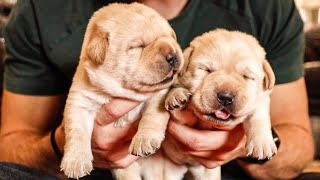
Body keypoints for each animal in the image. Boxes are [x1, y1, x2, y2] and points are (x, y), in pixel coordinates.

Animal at [60, 2, 184, 179]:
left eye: (171, 37)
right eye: (138, 46)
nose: (173, 56)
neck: (122, 91)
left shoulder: (158, 94)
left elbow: (152, 115)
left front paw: (144, 140)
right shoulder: (80, 101)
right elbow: (76, 131)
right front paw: (75, 162)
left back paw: (177, 97)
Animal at [164, 28, 276, 179]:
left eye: (246, 77)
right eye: (207, 70)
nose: (225, 97)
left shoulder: (261, 97)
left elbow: (258, 116)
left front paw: (262, 143)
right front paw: (177, 97)